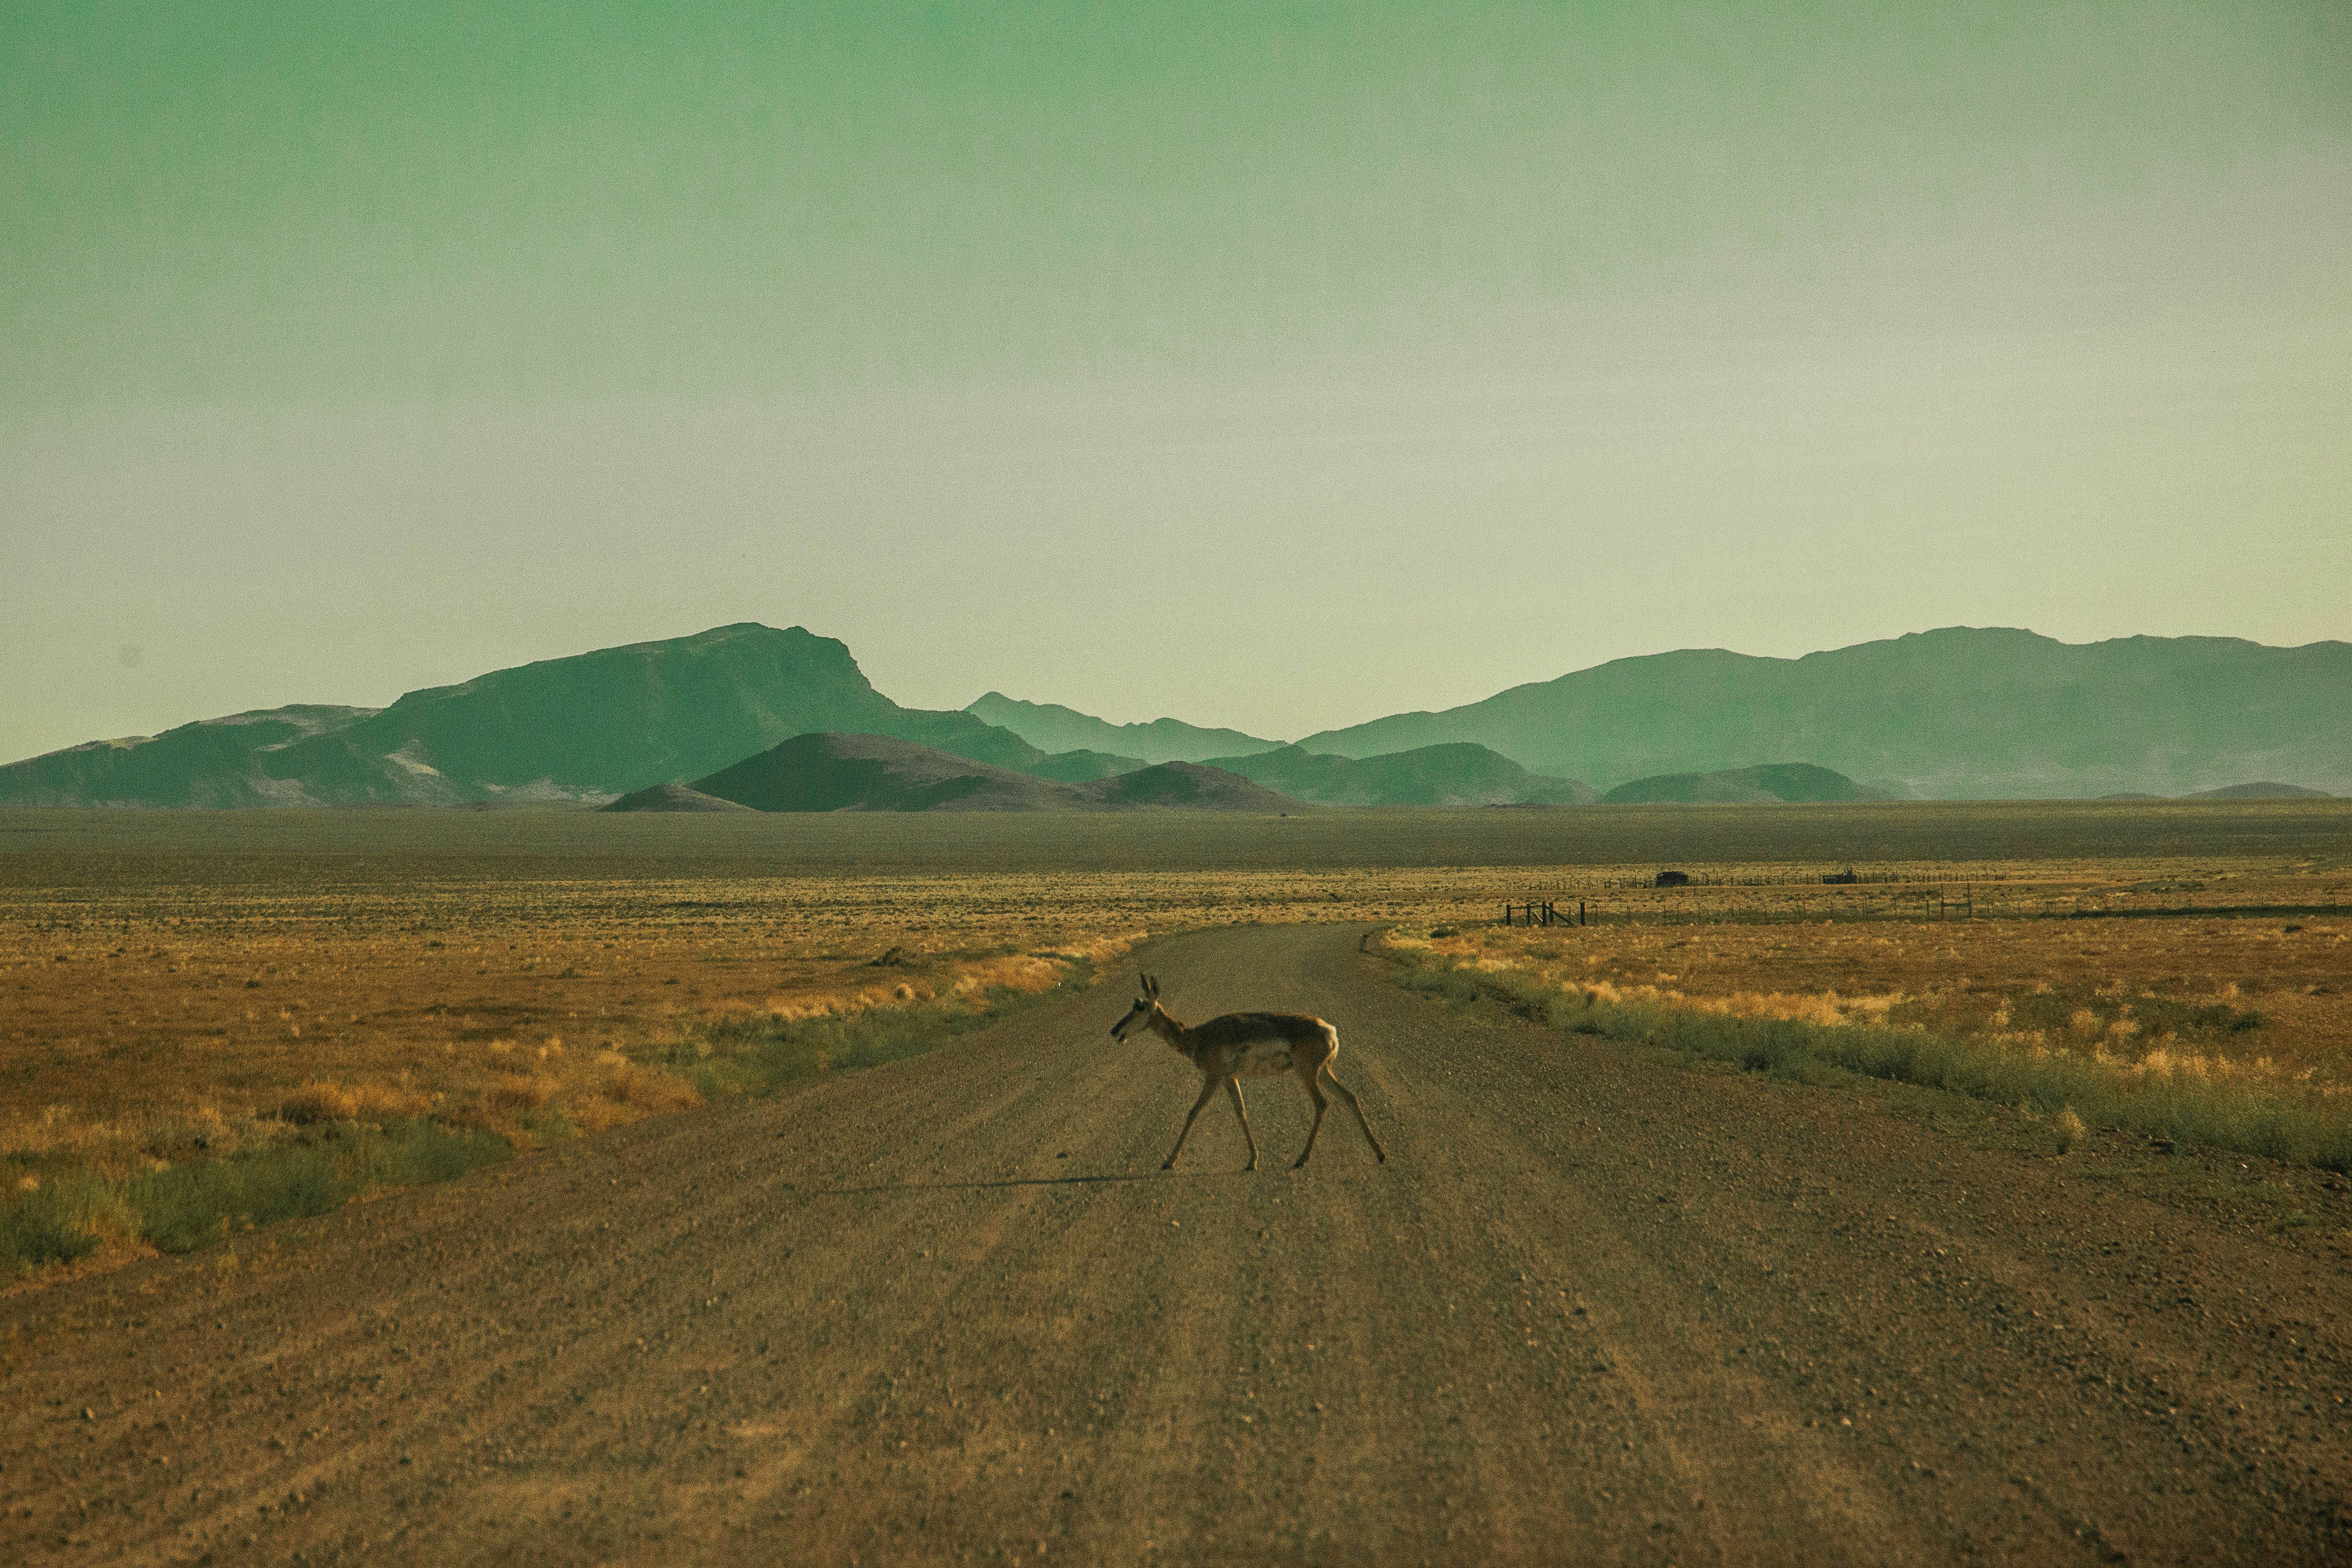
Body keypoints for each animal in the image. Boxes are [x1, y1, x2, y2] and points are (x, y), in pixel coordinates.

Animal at [1111, 973, 1387, 1171]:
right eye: (1133, 1003)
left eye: (1139, 1007)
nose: (1114, 1030)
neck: (1198, 1037)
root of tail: (1330, 1030)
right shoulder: (1230, 1079)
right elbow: (1241, 1112)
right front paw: (1253, 1160)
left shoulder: (1214, 1077)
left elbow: (1193, 1112)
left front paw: (1169, 1161)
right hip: (1323, 1073)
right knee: (1350, 1097)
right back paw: (1380, 1153)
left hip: (1307, 1073)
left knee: (1322, 1104)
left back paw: (1302, 1159)